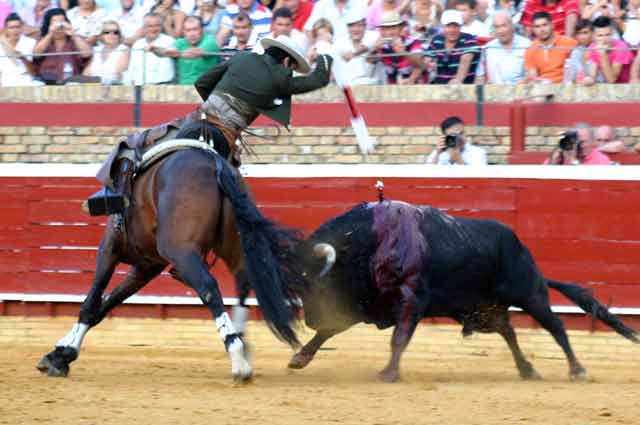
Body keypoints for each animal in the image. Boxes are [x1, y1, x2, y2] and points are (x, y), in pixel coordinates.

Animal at [36, 122, 306, 380]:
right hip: (233, 247)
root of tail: (216, 165)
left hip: (182, 252)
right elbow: (109, 302)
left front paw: (64, 353)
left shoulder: (110, 248)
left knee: (209, 286)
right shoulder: (148, 265)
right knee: (242, 281)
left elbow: (92, 302)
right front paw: (59, 354)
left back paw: (238, 358)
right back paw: (242, 344)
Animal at [288, 199, 636, 380]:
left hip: (531, 296)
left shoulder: (411, 301)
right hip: (484, 310)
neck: (369, 242)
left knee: (556, 327)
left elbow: (398, 338)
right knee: (509, 332)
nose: (310, 320)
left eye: (319, 280)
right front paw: (300, 358)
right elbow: (330, 332)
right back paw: (526, 369)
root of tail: (524, 251)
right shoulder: (363, 303)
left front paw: (388, 373)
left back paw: (577, 370)